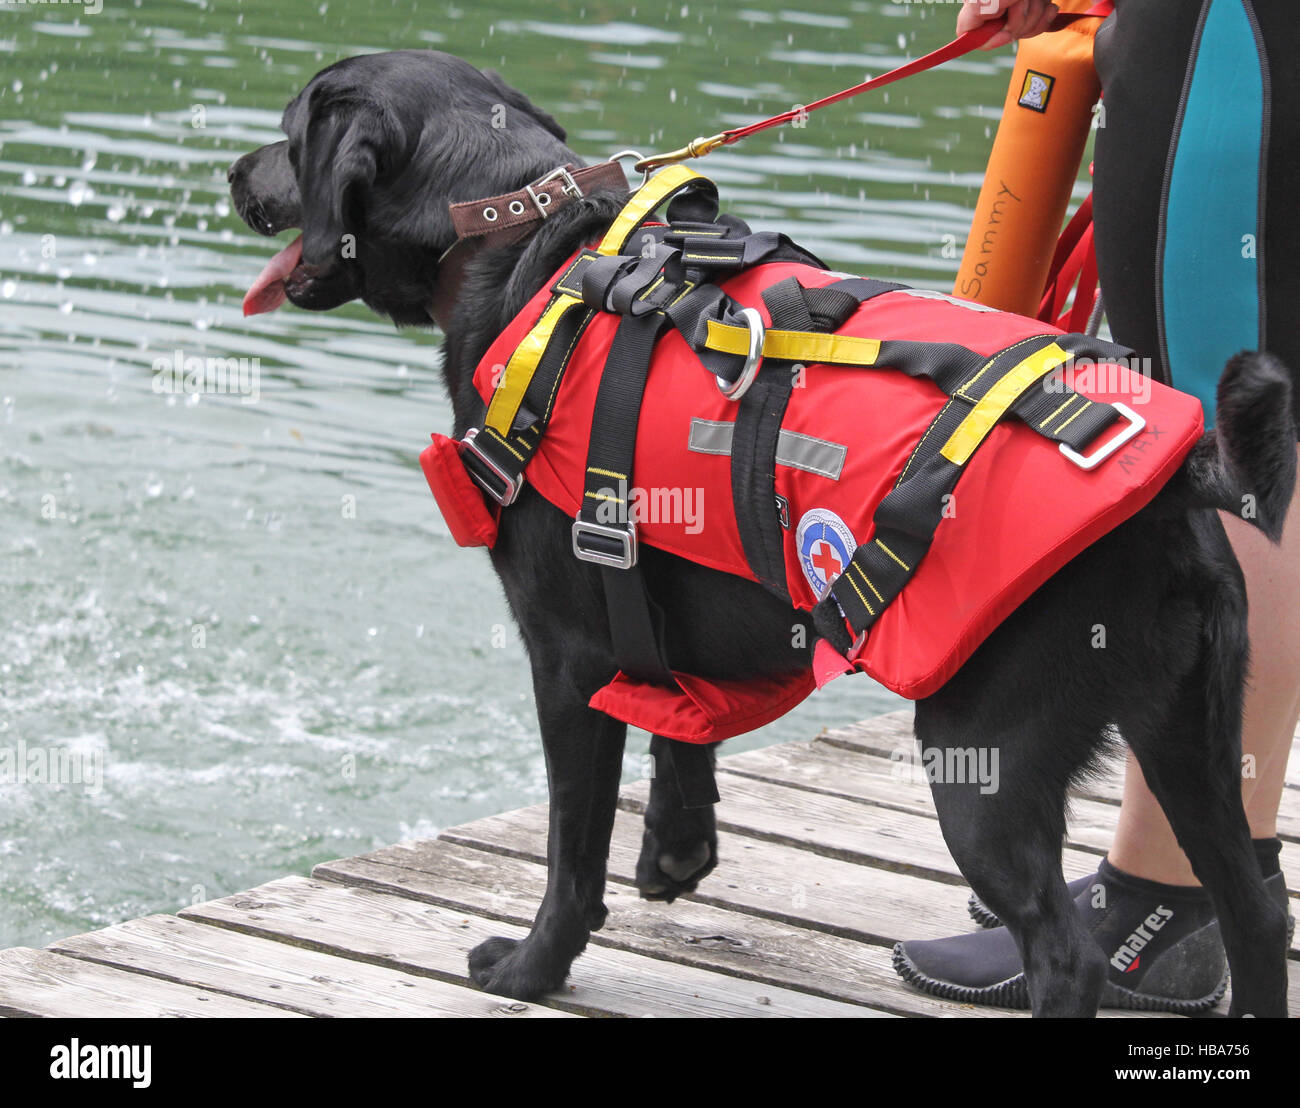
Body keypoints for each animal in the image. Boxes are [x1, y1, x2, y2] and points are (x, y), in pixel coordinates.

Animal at [231, 53, 1289, 1019]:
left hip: (985, 751)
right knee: (1257, 909)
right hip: (1194, 740)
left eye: (289, 134)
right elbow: (677, 725)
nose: (237, 172)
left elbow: (572, 851)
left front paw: (535, 967)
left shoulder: (564, 656)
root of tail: (1178, 478)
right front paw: (677, 847)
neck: (525, 233)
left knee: (1066, 954)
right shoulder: (664, 603)